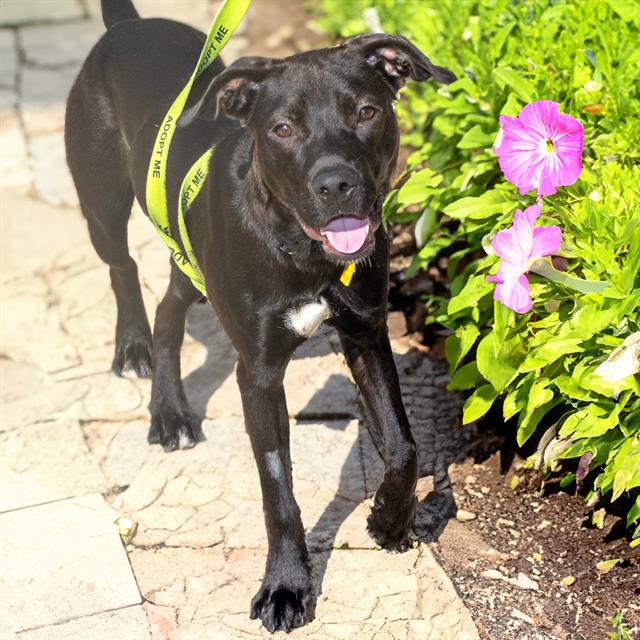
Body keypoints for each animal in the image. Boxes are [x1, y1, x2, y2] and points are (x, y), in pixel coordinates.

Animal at [65, 0, 452, 632]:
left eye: (366, 112)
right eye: (283, 129)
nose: (336, 184)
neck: (303, 253)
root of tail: (127, 25)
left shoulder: (367, 335)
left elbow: (403, 445)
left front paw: (389, 520)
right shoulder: (260, 372)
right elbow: (278, 490)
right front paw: (287, 587)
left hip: (191, 258)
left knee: (170, 307)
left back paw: (170, 409)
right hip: (102, 202)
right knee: (124, 268)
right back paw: (137, 356)